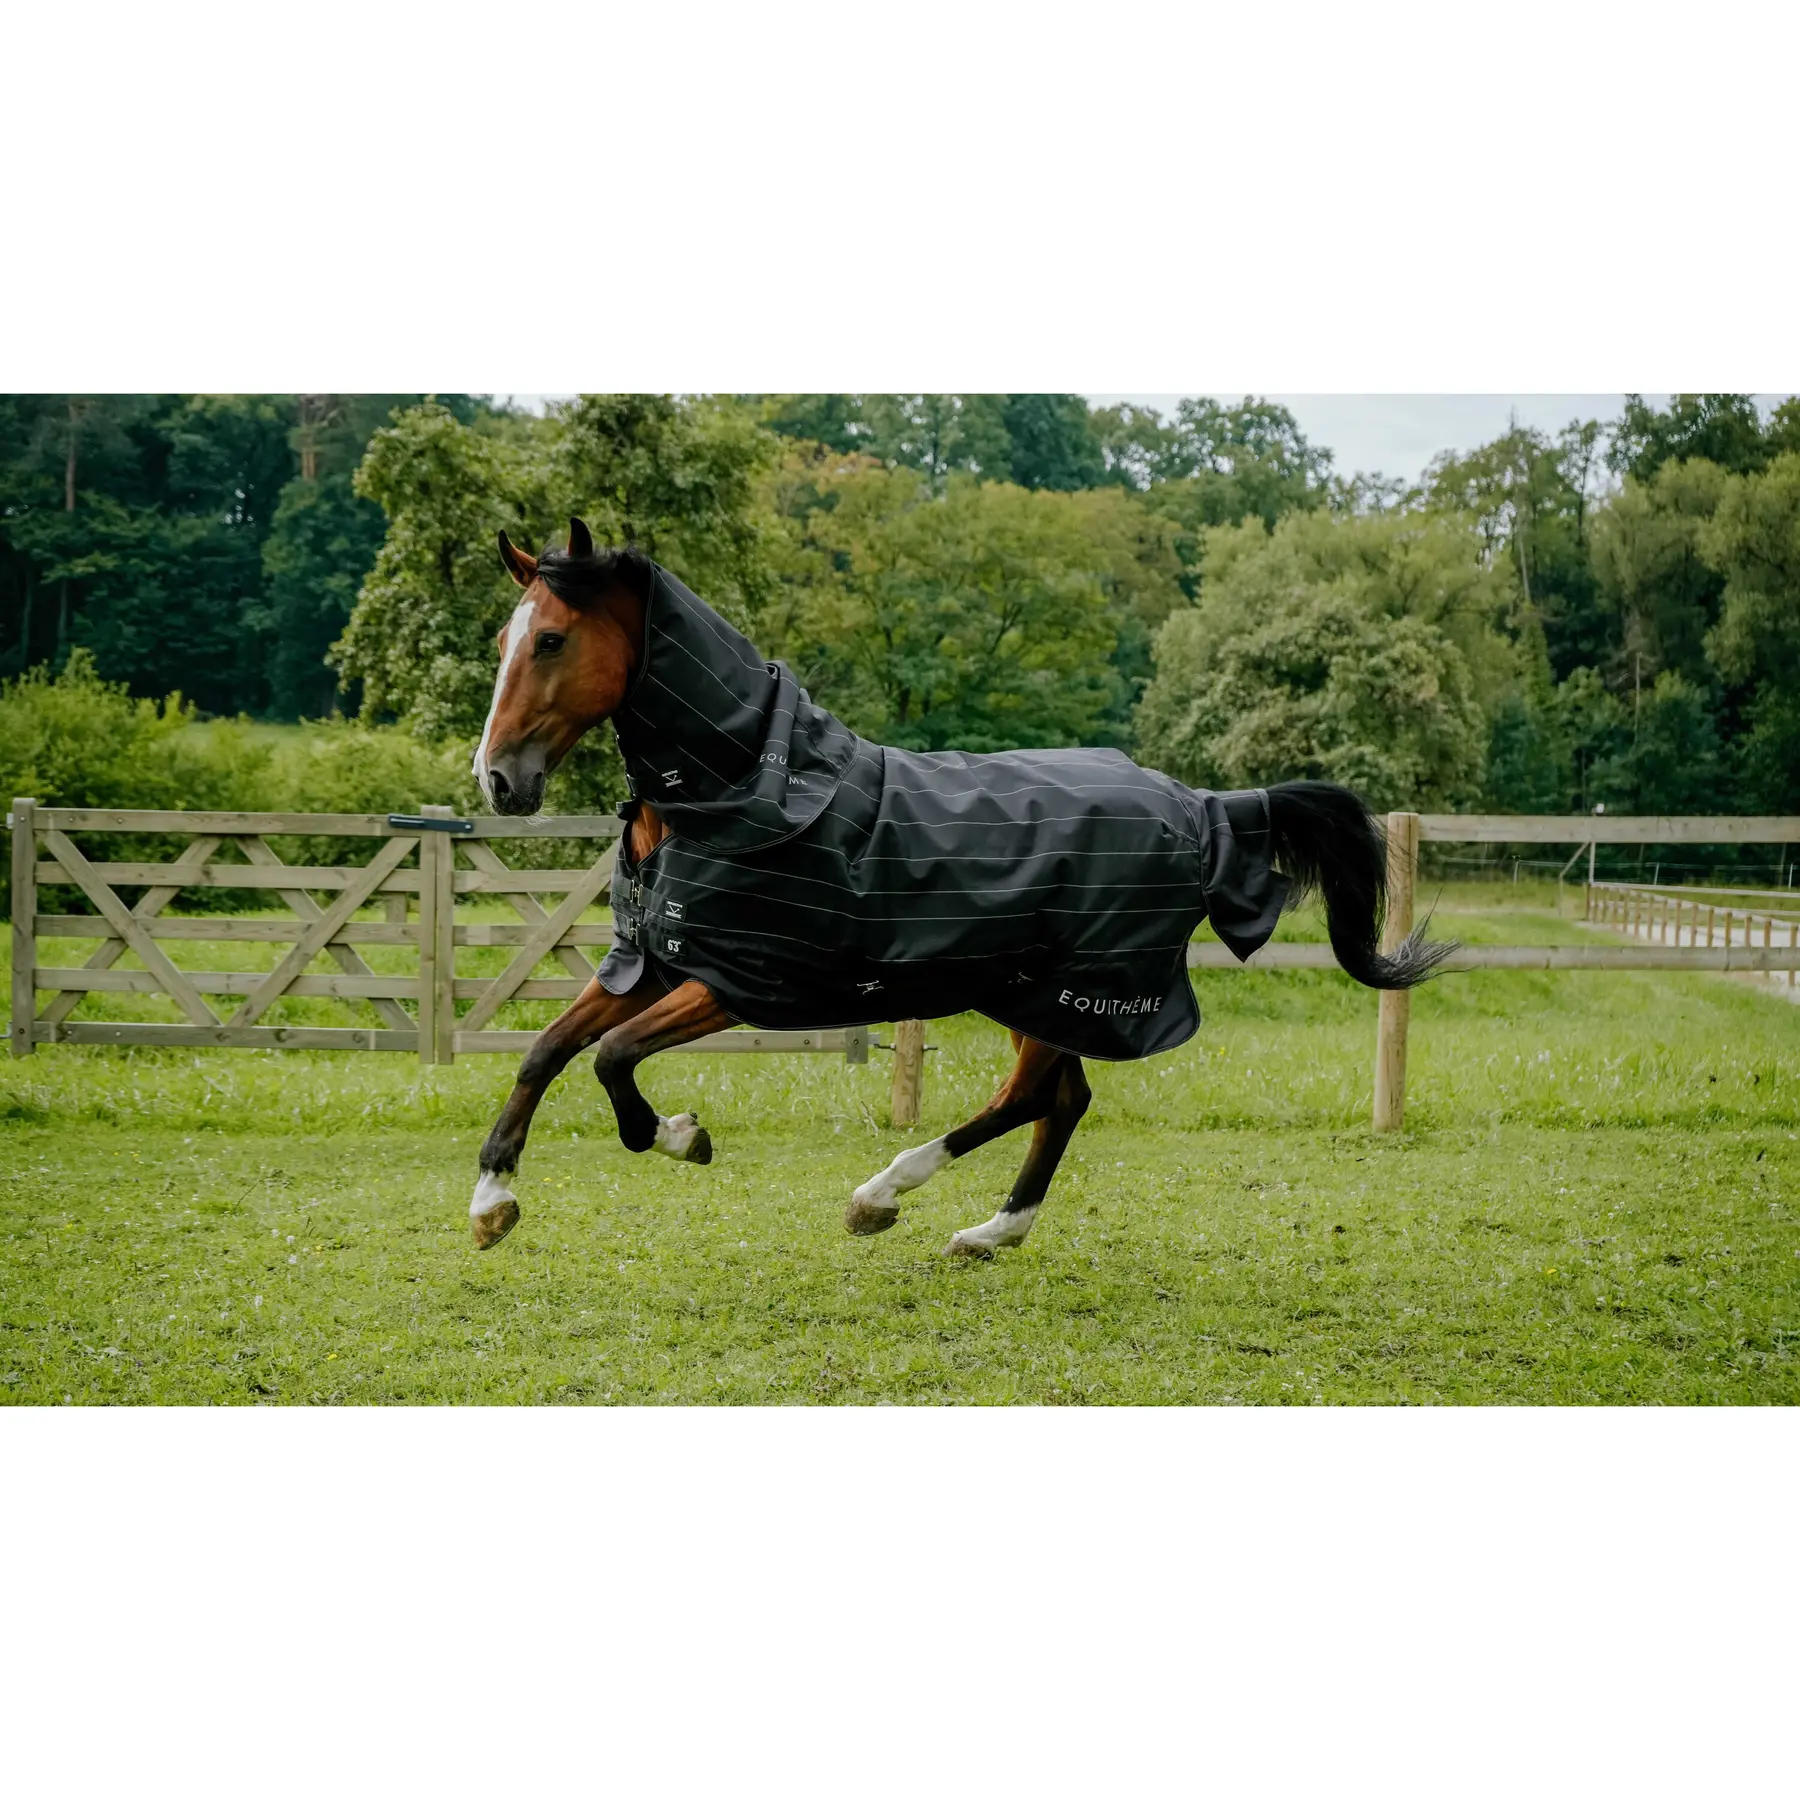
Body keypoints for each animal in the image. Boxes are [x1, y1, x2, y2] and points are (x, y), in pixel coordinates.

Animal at [466, 520, 1450, 1254]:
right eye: (503, 642)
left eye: (551, 639)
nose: (498, 781)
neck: (744, 791)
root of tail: (1205, 806)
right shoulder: (655, 963)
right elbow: (546, 1051)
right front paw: (491, 1200)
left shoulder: (738, 980)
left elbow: (611, 1057)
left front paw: (678, 1135)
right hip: (1033, 994)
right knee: (1061, 1101)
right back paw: (988, 1231)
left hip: (1071, 991)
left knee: (1034, 1099)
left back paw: (885, 1195)